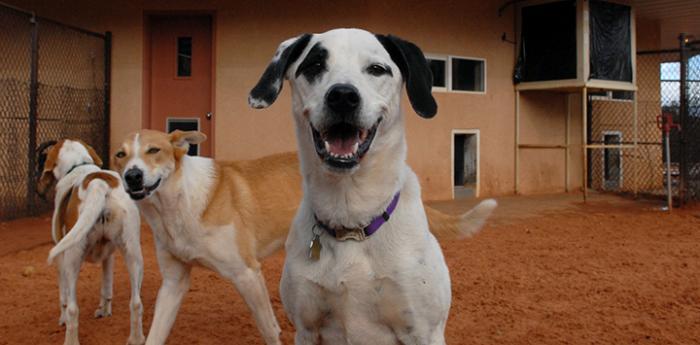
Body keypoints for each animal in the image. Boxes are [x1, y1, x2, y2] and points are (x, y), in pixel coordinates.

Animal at [37, 138, 145, 344]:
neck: (79, 165)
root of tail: (98, 183)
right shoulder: (109, 257)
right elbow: (106, 288)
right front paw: (104, 311)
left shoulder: (60, 261)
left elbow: (63, 299)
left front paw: (62, 320)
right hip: (133, 253)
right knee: (136, 302)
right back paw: (136, 338)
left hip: (72, 259)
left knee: (73, 308)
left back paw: (70, 340)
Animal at [252, 28, 498, 342]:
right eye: (315, 65)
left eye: (377, 69)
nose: (343, 96)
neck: (351, 218)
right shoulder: (306, 329)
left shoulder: (423, 331)